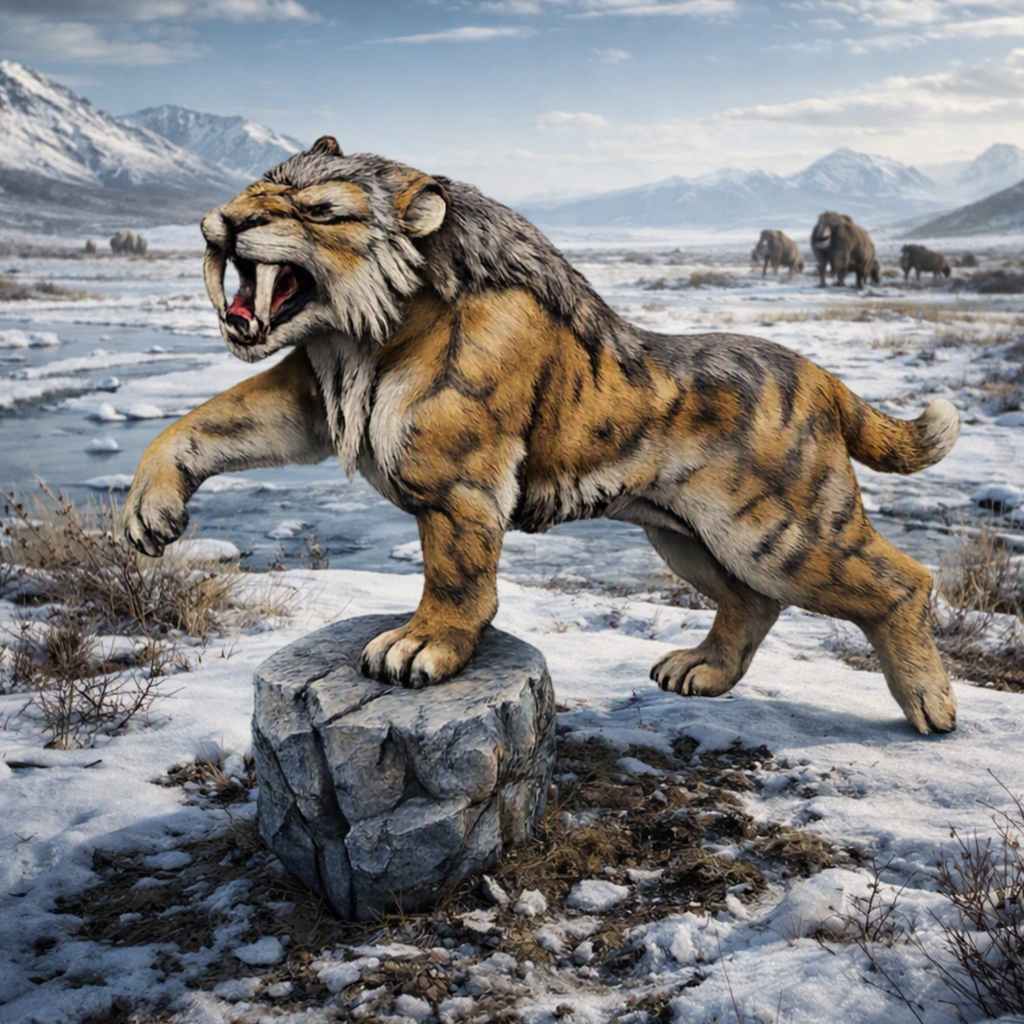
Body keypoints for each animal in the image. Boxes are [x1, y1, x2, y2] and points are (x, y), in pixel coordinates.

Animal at [123, 136, 961, 734]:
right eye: (260, 185)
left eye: (321, 211)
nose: (224, 222)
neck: (363, 336)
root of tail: (822, 377)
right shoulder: (305, 395)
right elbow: (201, 421)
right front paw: (148, 515)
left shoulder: (458, 486)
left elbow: (456, 578)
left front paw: (418, 648)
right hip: (688, 537)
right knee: (753, 605)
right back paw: (699, 673)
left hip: (781, 532)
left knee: (903, 581)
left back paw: (932, 708)